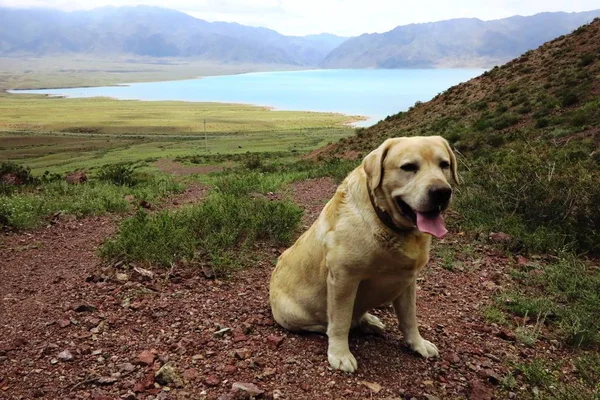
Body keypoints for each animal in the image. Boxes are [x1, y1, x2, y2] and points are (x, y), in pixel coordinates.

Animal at [268, 137, 460, 372]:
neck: (387, 223)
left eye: (444, 165)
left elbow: (409, 318)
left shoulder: (408, 282)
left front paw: (417, 343)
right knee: (328, 323)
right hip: (291, 314)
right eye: (408, 167)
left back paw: (369, 321)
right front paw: (340, 354)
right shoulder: (344, 279)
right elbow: (340, 322)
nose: (442, 192)